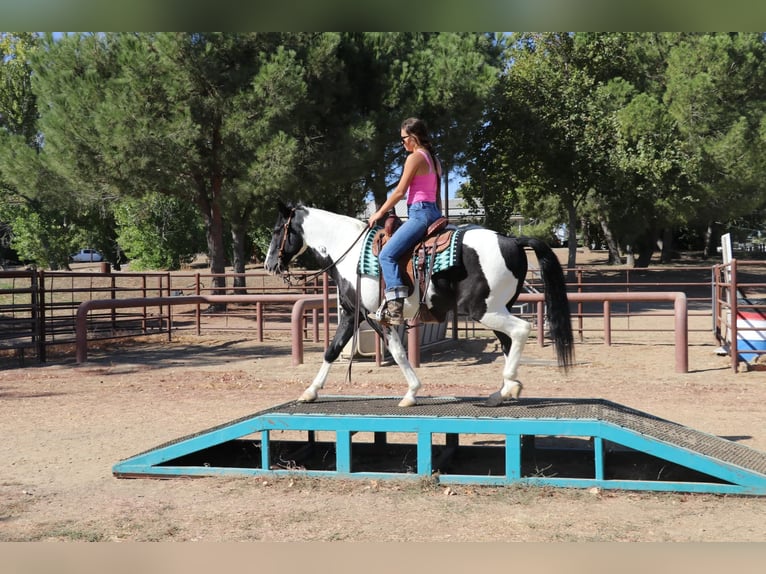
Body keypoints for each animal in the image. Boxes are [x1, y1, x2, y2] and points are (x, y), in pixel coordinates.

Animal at [268, 202, 572, 410]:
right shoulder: (353, 313)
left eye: (276, 230)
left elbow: (397, 352)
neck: (349, 252)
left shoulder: (373, 316)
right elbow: (332, 350)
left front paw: (411, 392)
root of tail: (512, 239)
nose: (270, 264)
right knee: (509, 342)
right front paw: (311, 391)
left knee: (520, 330)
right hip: (497, 308)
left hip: (483, 309)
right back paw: (504, 391)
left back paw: (509, 385)